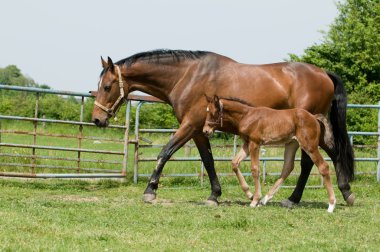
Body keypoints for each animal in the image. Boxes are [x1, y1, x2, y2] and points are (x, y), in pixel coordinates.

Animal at [203, 95, 336, 212]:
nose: (205, 131)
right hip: (291, 144)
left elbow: (255, 169)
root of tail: (314, 117)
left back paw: (331, 205)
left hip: (310, 146)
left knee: (323, 166)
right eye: (206, 111)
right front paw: (250, 194)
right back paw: (265, 200)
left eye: (213, 113)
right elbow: (235, 162)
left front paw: (254, 200)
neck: (247, 115)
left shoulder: (255, 144)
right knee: (287, 167)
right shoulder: (247, 144)